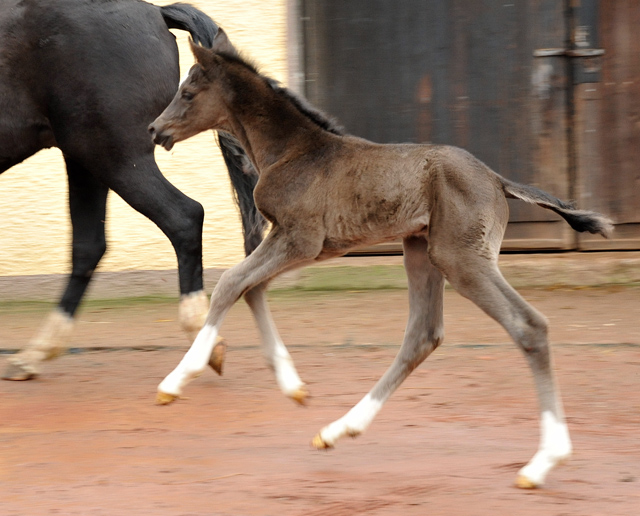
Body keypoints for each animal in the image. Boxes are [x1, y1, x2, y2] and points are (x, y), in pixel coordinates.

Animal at [0, 0, 264, 378]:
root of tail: (155, 13)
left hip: (115, 157)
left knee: (184, 217)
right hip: (85, 159)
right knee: (89, 246)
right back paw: (34, 354)